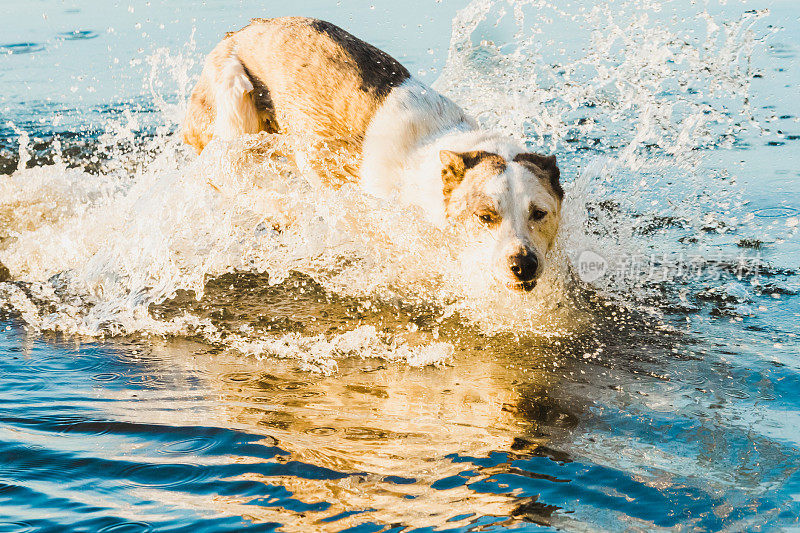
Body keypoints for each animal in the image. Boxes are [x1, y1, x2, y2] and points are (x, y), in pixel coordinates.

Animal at [183, 16, 564, 290]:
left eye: (539, 213)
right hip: (234, 96)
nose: (524, 264)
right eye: (485, 217)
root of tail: (235, 33)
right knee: (224, 171)